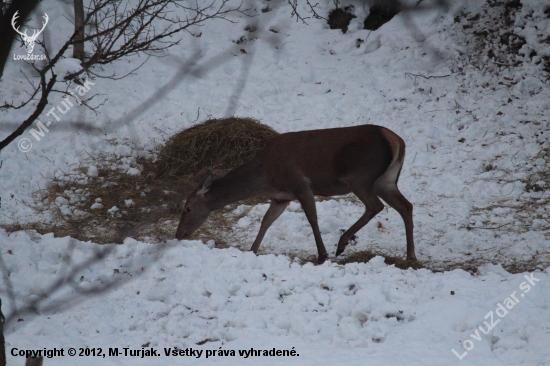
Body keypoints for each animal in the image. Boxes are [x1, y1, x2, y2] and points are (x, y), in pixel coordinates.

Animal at [178, 123, 418, 264]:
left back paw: (341, 245)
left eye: (187, 208)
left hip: (359, 175)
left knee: (375, 206)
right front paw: (252, 251)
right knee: (406, 206)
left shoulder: (300, 184)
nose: (178, 234)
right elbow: (266, 221)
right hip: (386, 181)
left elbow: (312, 218)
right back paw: (410, 255)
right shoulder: (281, 197)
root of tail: (398, 141)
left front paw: (322, 254)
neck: (265, 176)